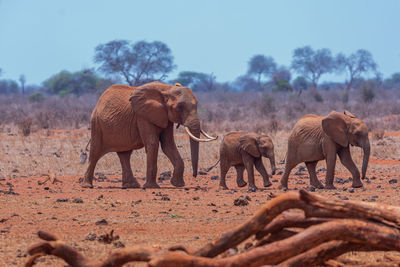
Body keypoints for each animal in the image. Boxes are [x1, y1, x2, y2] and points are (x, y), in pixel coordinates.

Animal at [81, 81, 217, 188]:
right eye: (179, 107)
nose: (194, 175)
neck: (167, 89)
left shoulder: (165, 117)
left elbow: (168, 145)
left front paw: (178, 184)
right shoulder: (143, 116)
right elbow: (153, 143)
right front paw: (152, 187)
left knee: (125, 155)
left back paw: (132, 186)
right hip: (97, 124)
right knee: (95, 152)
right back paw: (87, 185)